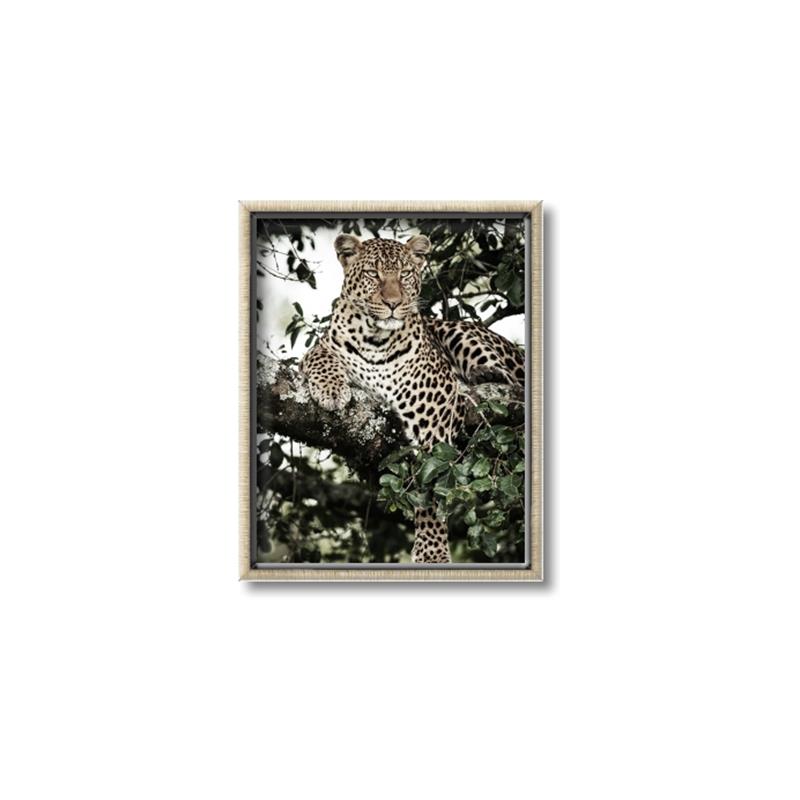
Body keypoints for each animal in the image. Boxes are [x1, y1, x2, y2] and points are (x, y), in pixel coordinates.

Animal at [300, 232, 524, 563]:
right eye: (373, 274)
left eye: (405, 274)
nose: (394, 303)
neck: (376, 340)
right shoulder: (321, 348)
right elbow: (321, 357)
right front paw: (331, 390)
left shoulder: (435, 411)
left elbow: (432, 486)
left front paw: (433, 552)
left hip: (460, 333)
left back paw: (485, 375)